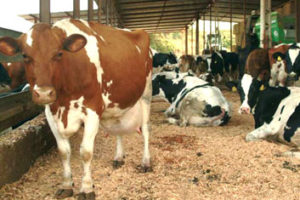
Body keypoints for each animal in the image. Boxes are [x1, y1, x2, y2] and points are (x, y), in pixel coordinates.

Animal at [0, 18, 152, 199]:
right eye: (25, 56)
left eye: (59, 54)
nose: (44, 93)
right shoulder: (51, 113)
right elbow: (63, 151)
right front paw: (67, 185)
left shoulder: (92, 111)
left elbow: (85, 152)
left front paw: (86, 188)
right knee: (118, 130)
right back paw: (118, 157)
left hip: (146, 94)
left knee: (146, 130)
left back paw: (146, 162)